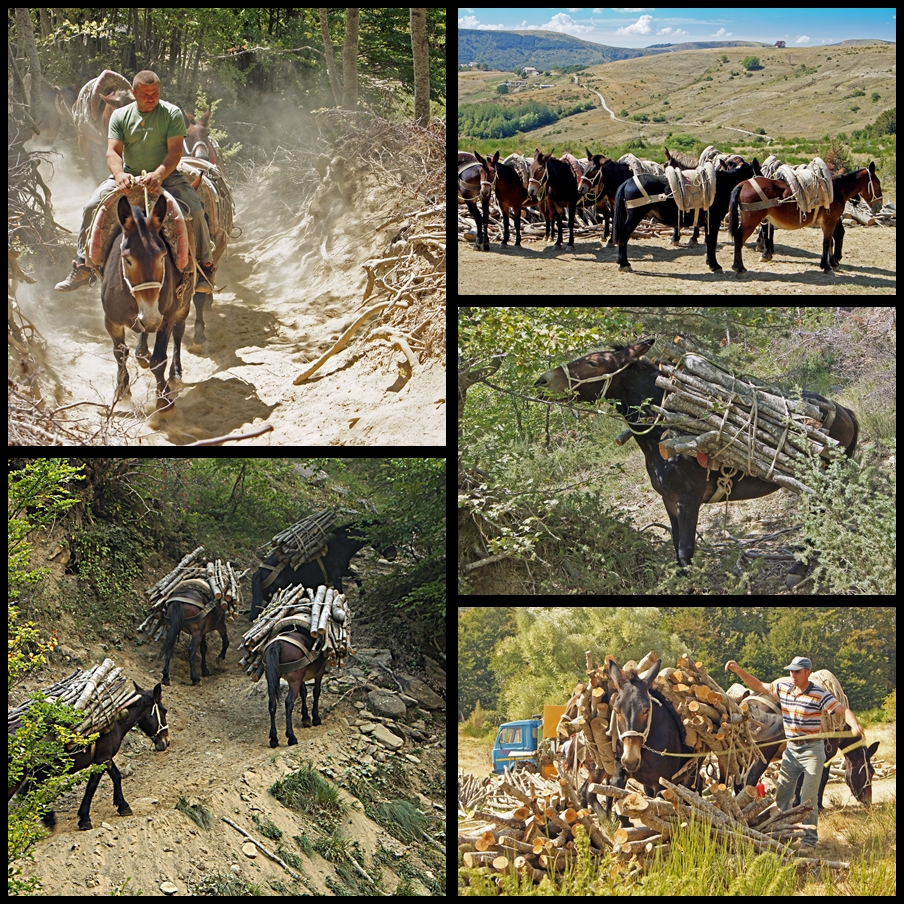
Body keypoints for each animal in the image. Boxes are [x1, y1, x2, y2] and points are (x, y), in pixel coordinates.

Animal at [536, 336, 860, 584]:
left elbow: (685, 549)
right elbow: (677, 549)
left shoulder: (689, 498)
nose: (542, 380)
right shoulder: (669, 500)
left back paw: (800, 569)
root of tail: (846, 412)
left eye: (593, 363)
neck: (662, 432)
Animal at [728, 162, 884, 276]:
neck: (836, 189)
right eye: (877, 183)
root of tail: (743, 184)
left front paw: (831, 263)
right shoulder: (830, 221)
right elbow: (826, 243)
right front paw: (826, 266)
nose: (879, 206)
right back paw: (739, 267)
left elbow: (830, 243)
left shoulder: (830, 222)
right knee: (739, 238)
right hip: (751, 221)